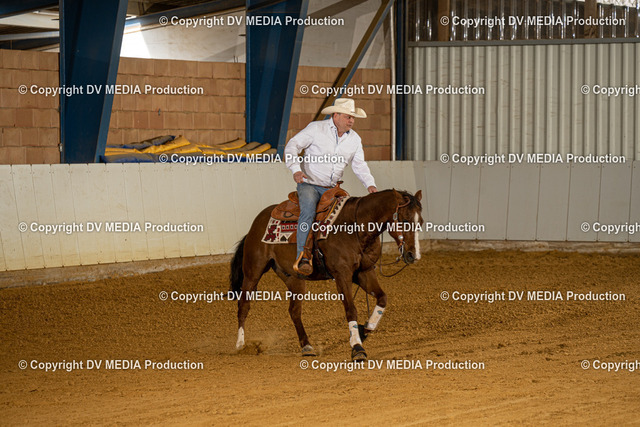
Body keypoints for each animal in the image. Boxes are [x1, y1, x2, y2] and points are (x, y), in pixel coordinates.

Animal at [229, 188, 423, 361]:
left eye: (420, 222)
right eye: (405, 220)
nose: (413, 255)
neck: (355, 228)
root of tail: (255, 225)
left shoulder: (364, 272)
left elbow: (382, 298)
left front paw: (367, 328)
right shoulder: (342, 275)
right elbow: (350, 310)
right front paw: (357, 348)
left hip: (294, 278)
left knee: (294, 311)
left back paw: (307, 346)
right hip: (253, 271)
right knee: (243, 305)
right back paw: (240, 345)